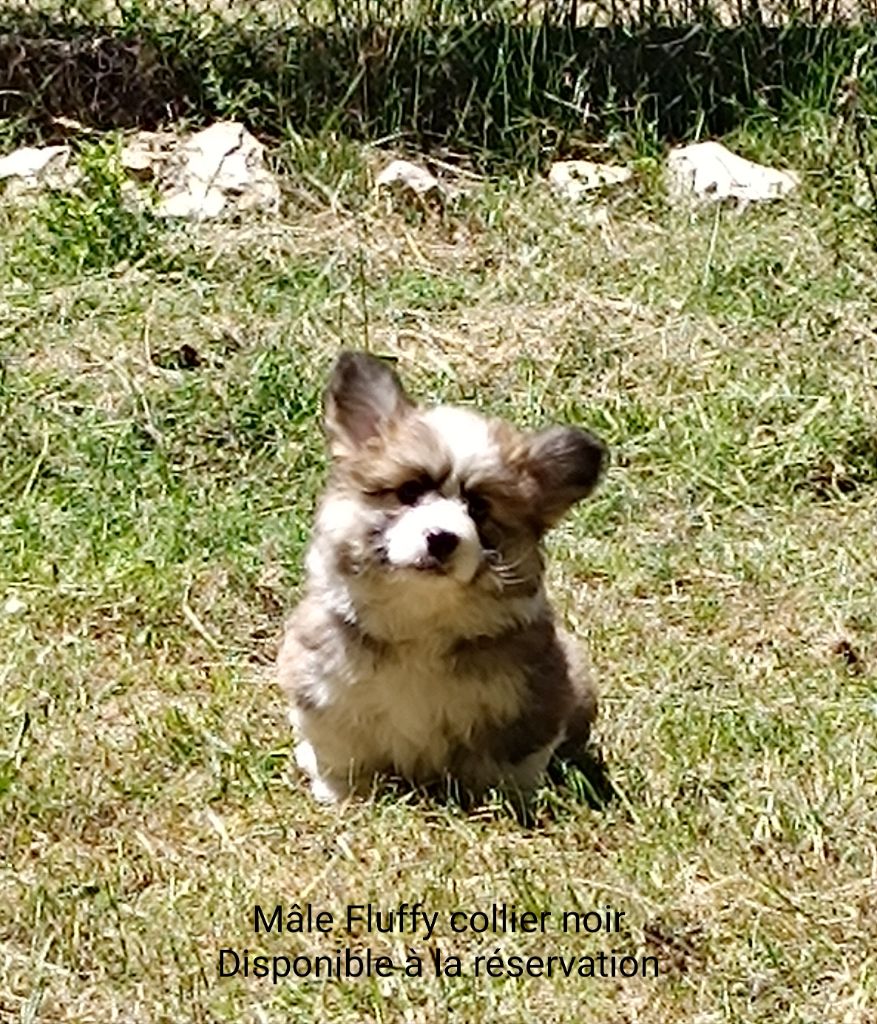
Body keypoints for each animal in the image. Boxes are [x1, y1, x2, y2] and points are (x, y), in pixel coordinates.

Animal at [276, 356, 606, 802]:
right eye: (409, 492)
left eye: (478, 508)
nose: (443, 538)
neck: (421, 622)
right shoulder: (325, 690)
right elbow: (342, 755)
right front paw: (343, 797)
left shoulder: (528, 701)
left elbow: (510, 764)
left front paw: (503, 802)